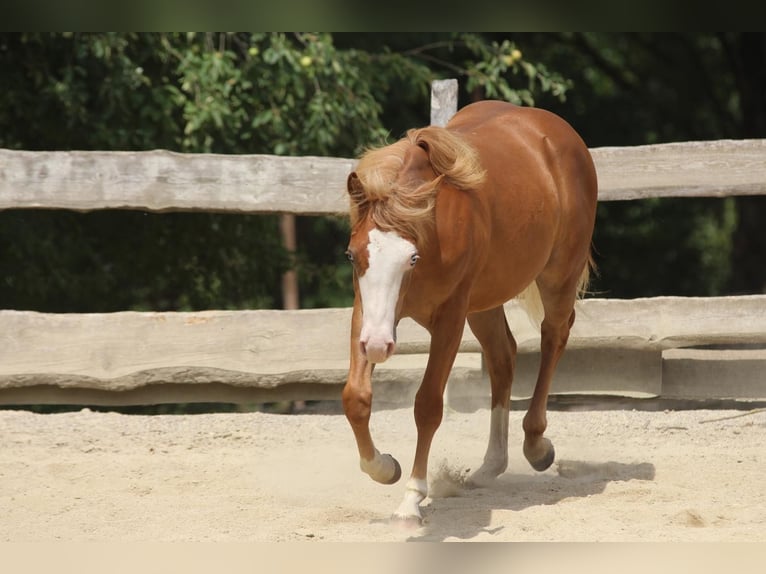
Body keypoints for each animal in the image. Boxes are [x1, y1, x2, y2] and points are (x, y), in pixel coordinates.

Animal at [342, 100, 597, 526]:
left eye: (411, 258)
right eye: (352, 255)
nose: (377, 347)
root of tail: (556, 131)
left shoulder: (450, 318)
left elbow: (428, 405)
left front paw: (411, 498)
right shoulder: (367, 314)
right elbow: (356, 398)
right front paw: (384, 467)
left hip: (557, 278)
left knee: (553, 337)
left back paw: (536, 445)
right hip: (485, 303)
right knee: (503, 359)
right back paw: (491, 465)